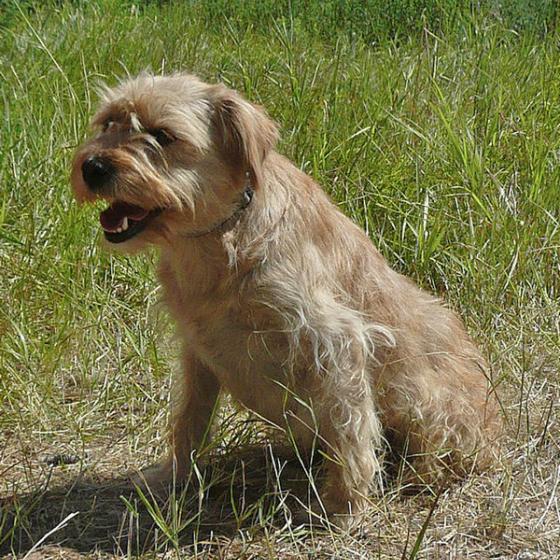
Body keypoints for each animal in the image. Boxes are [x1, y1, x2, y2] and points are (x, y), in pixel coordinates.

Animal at [71, 72, 500, 525]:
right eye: (108, 122)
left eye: (163, 135)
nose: (92, 167)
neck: (220, 239)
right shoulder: (197, 352)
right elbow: (189, 419)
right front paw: (173, 476)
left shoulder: (337, 340)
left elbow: (351, 426)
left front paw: (344, 505)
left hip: (426, 403)